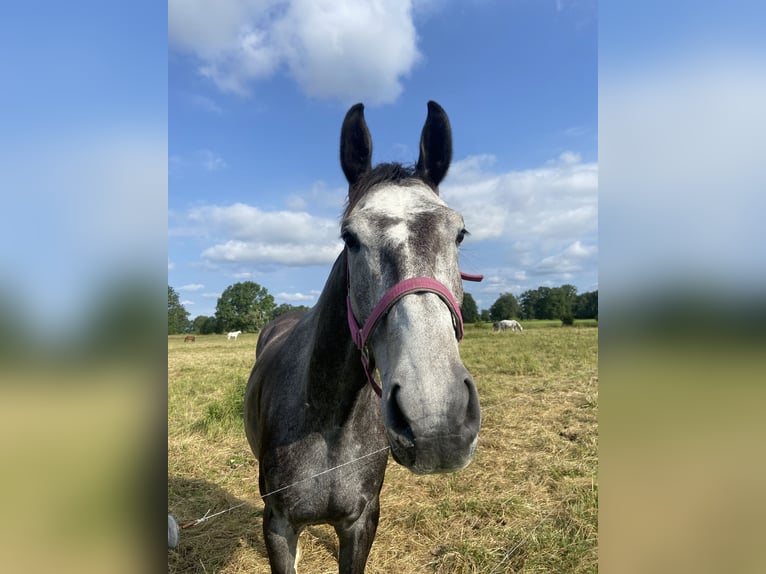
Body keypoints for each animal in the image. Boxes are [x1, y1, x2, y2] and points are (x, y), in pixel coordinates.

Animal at [246, 102, 484, 574]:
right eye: (350, 237)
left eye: (459, 233)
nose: (437, 420)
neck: (328, 422)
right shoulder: (277, 525)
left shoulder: (360, 523)